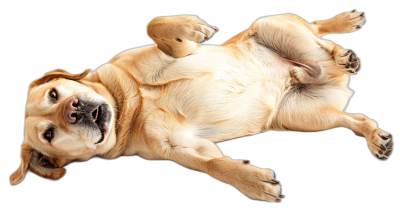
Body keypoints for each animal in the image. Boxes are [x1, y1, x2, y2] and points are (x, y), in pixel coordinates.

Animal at [10, 10, 394, 203]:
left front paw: (193, 25)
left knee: (316, 29)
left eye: (54, 94)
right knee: (354, 116)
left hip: (270, 25)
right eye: (49, 134)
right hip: (302, 117)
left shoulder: (177, 51)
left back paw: (343, 38)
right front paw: (252, 182)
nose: (74, 109)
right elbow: (213, 165)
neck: (131, 106)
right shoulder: (182, 148)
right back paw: (373, 134)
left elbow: (156, 26)